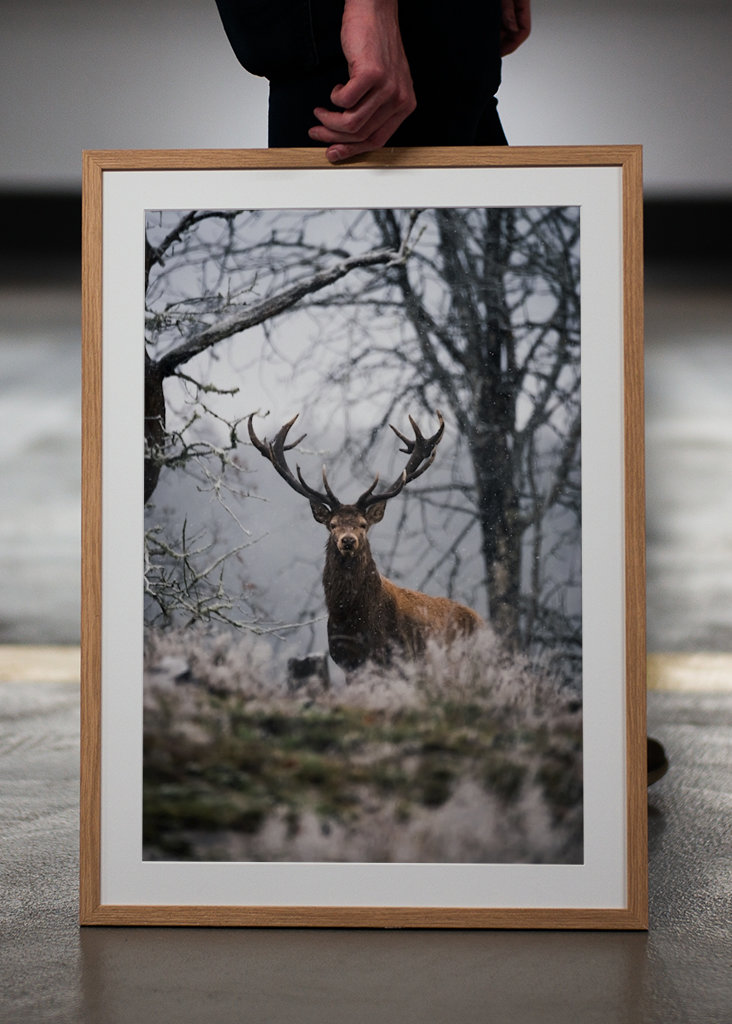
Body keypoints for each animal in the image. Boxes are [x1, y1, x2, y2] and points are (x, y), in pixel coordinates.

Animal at [248, 411, 482, 672]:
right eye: (332, 525)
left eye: (363, 524)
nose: (348, 541)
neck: (354, 621)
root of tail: (483, 623)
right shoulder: (346, 661)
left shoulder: (396, 658)